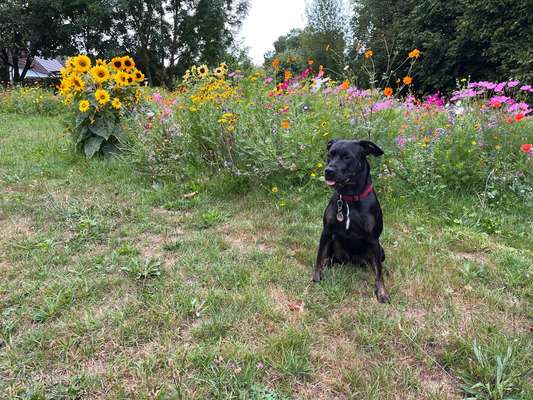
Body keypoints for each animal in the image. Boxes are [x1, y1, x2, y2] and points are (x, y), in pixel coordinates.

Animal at [310, 139, 388, 302]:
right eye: (330, 154)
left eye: (347, 157)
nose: (328, 171)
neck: (349, 199)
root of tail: (350, 260)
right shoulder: (326, 231)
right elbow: (319, 256)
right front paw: (316, 277)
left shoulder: (373, 239)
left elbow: (379, 272)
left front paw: (382, 292)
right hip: (333, 241)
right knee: (328, 258)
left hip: (380, 249)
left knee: (376, 265)